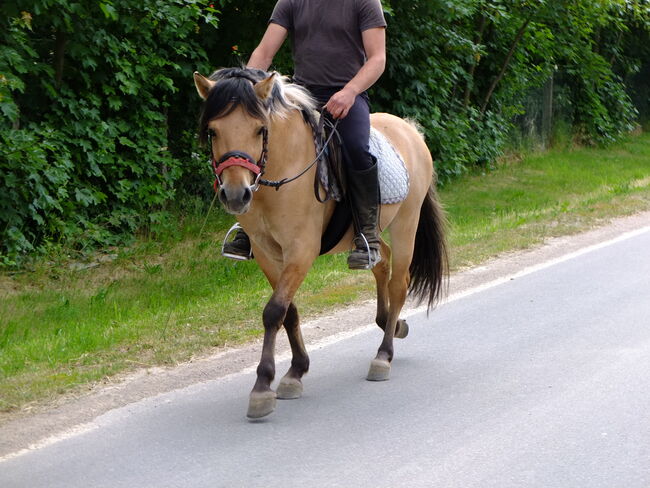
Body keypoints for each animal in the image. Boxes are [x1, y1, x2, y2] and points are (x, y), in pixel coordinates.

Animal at [192, 67, 446, 420]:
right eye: (213, 131)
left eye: (259, 130)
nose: (235, 194)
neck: (283, 169)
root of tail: (410, 129)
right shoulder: (269, 254)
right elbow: (289, 311)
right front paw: (296, 372)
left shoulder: (301, 250)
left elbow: (273, 311)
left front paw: (262, 388)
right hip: (370, 235)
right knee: (380, 260)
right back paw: (390, 325)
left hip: (406, 222)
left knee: (399, 282)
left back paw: (383, 355)